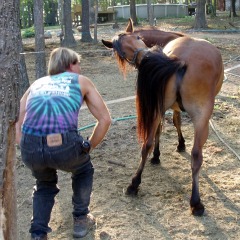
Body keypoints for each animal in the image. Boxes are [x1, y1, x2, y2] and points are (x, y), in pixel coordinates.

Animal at [102, 29, 224, 217]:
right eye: (120, 52)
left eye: (138, 38)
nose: (143, 55)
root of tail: (181, 60)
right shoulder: (173, 109)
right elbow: (176, 121)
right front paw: (180, 145)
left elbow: (163, 129)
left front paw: (157, 155)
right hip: (202, 117)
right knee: (196, 155)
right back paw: (196, 202)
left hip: (159, 111)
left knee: (146, 144)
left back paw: (134, 184)